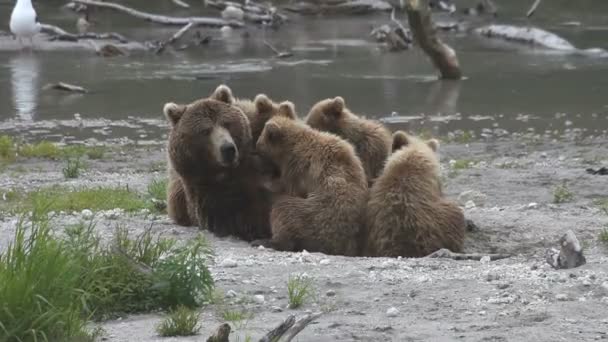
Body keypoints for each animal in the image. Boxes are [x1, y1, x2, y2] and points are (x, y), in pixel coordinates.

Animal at [255, 111, 368, 255]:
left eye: (259, 146)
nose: (255, 148)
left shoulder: (296, 169)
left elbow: (287, 188)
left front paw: (265, 181)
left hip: (316, 217)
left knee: (283, 209)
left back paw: (267, 241)